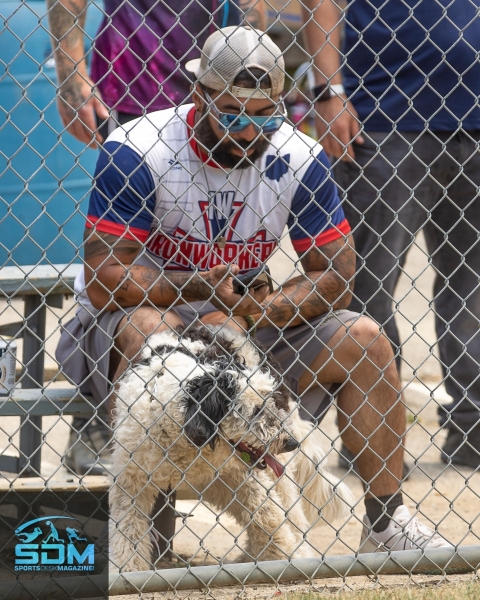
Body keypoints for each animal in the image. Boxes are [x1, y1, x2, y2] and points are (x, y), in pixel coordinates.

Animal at [110, 326, 354, 568]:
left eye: (270, 402)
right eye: (256, 410)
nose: (291, 442)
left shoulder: (239, 476)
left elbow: (267, 515)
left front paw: (283, 555)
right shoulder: (132, 481)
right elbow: (127, 531)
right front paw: (128, 568)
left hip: (275, 477)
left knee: (293, 516)